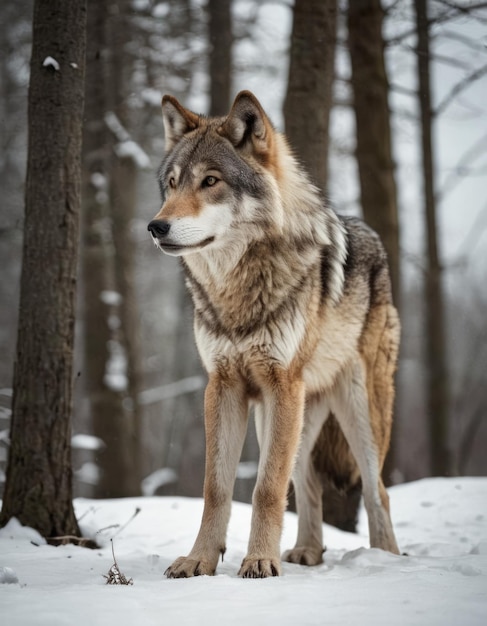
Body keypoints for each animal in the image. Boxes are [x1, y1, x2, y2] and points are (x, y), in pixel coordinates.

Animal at [148, 90, 400, 576]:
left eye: (210, 181)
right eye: (171, 184)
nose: (155, 226)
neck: (237, 291)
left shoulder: (283, 383)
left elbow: (265, 488)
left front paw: (260, 562)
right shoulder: (223, 385)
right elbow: (216, 488)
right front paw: (199, 560)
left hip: (356, 411)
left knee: (376, 488)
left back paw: (387, 559)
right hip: (288, 415)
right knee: (308, 484)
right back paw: (307, 552)